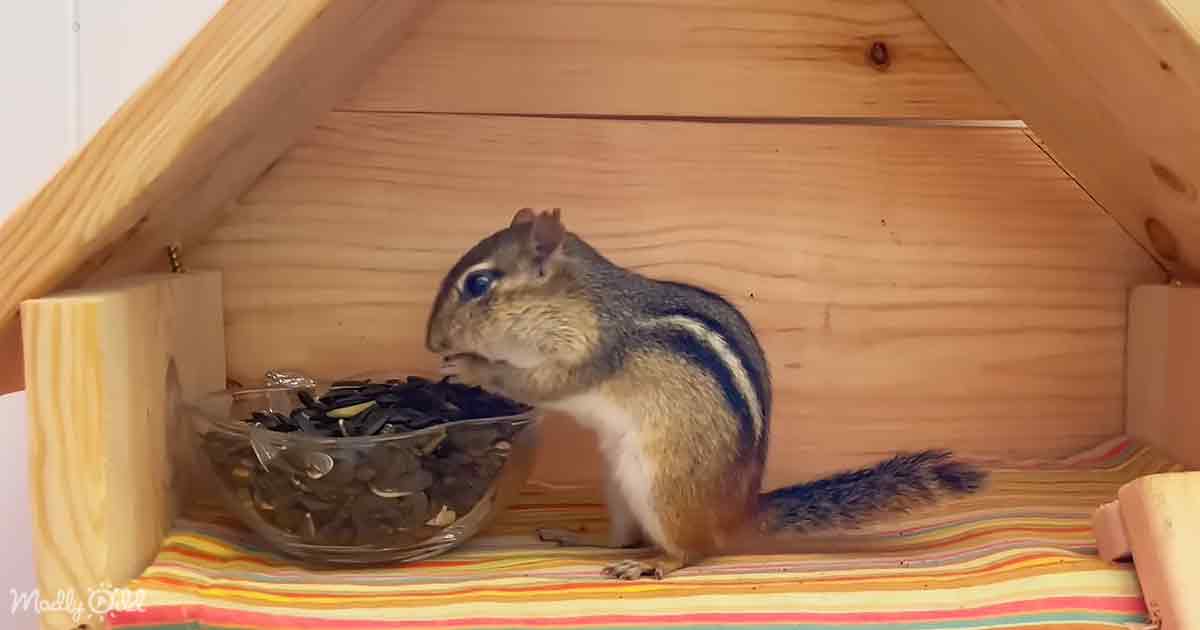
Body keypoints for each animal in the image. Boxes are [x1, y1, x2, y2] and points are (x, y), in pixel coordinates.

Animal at [425, 207, 987, 580]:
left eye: (478, 285)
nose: (432, 343)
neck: (575, 300)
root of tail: (737, 514)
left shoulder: (588, 354)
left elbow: (536, 383)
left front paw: (472, 366)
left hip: (661, 489)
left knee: (694, 552)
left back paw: (652, 566)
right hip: (619, 485)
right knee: (625, 535)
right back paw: (582, 537)